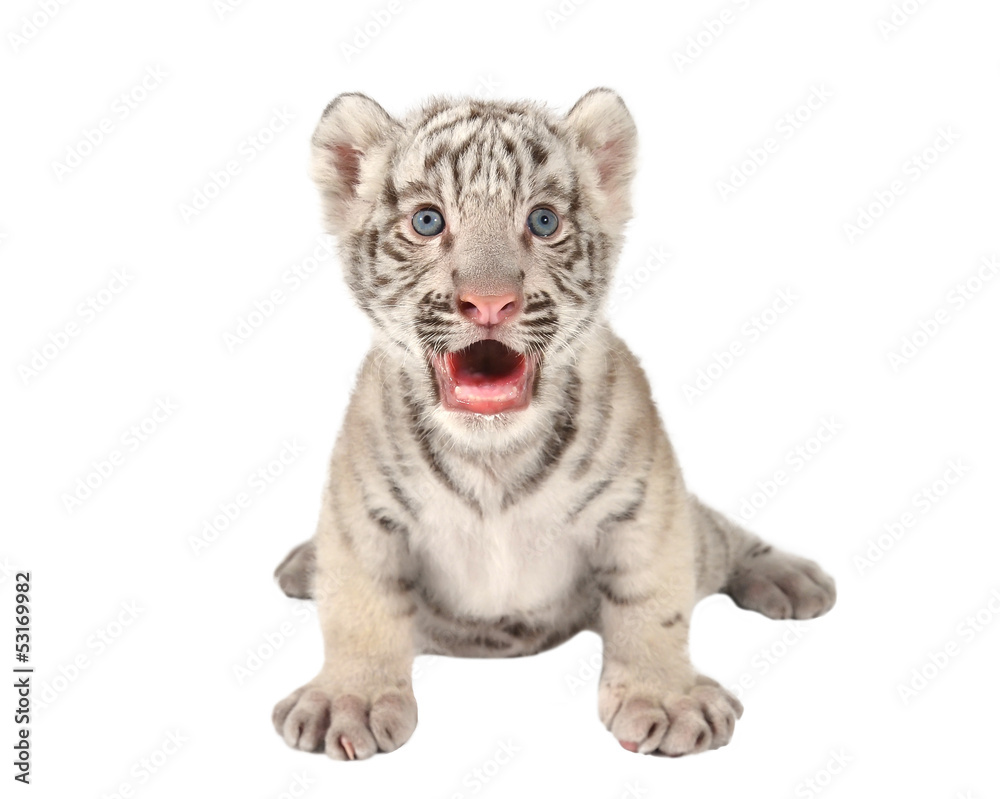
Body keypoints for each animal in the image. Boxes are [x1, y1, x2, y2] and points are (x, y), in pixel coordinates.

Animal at [270, 88, 836, 760]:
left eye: (543, 222)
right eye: (428, 221)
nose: (490, 303)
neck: (491, 456)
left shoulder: (648, 505)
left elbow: (653, 601)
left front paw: (665, 698)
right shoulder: (360, 516)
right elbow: (359, 608)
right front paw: (348, 699)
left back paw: (793, 578)